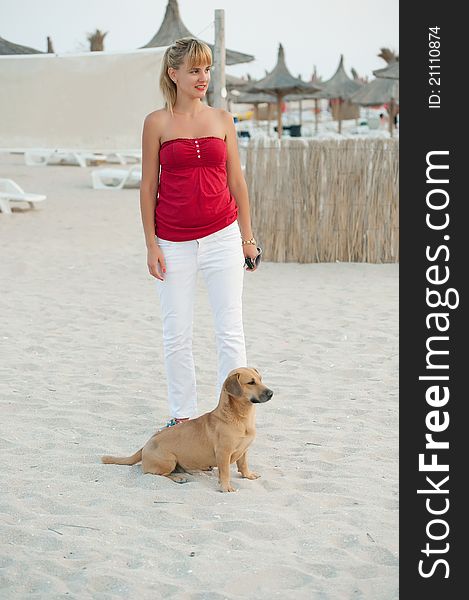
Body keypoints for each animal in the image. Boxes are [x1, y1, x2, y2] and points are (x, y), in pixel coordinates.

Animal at [100, 366, 272, 492]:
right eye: (250, 382)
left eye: (260, 379)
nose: (271, 393)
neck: (239, 417)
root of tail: (145, 445)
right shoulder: (223, 453)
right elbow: (226, 473)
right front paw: (226, 487)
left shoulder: (244, 450)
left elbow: (243, 465)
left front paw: (248, 475)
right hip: (168, 460)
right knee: (154, 474)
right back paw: (178, 478)